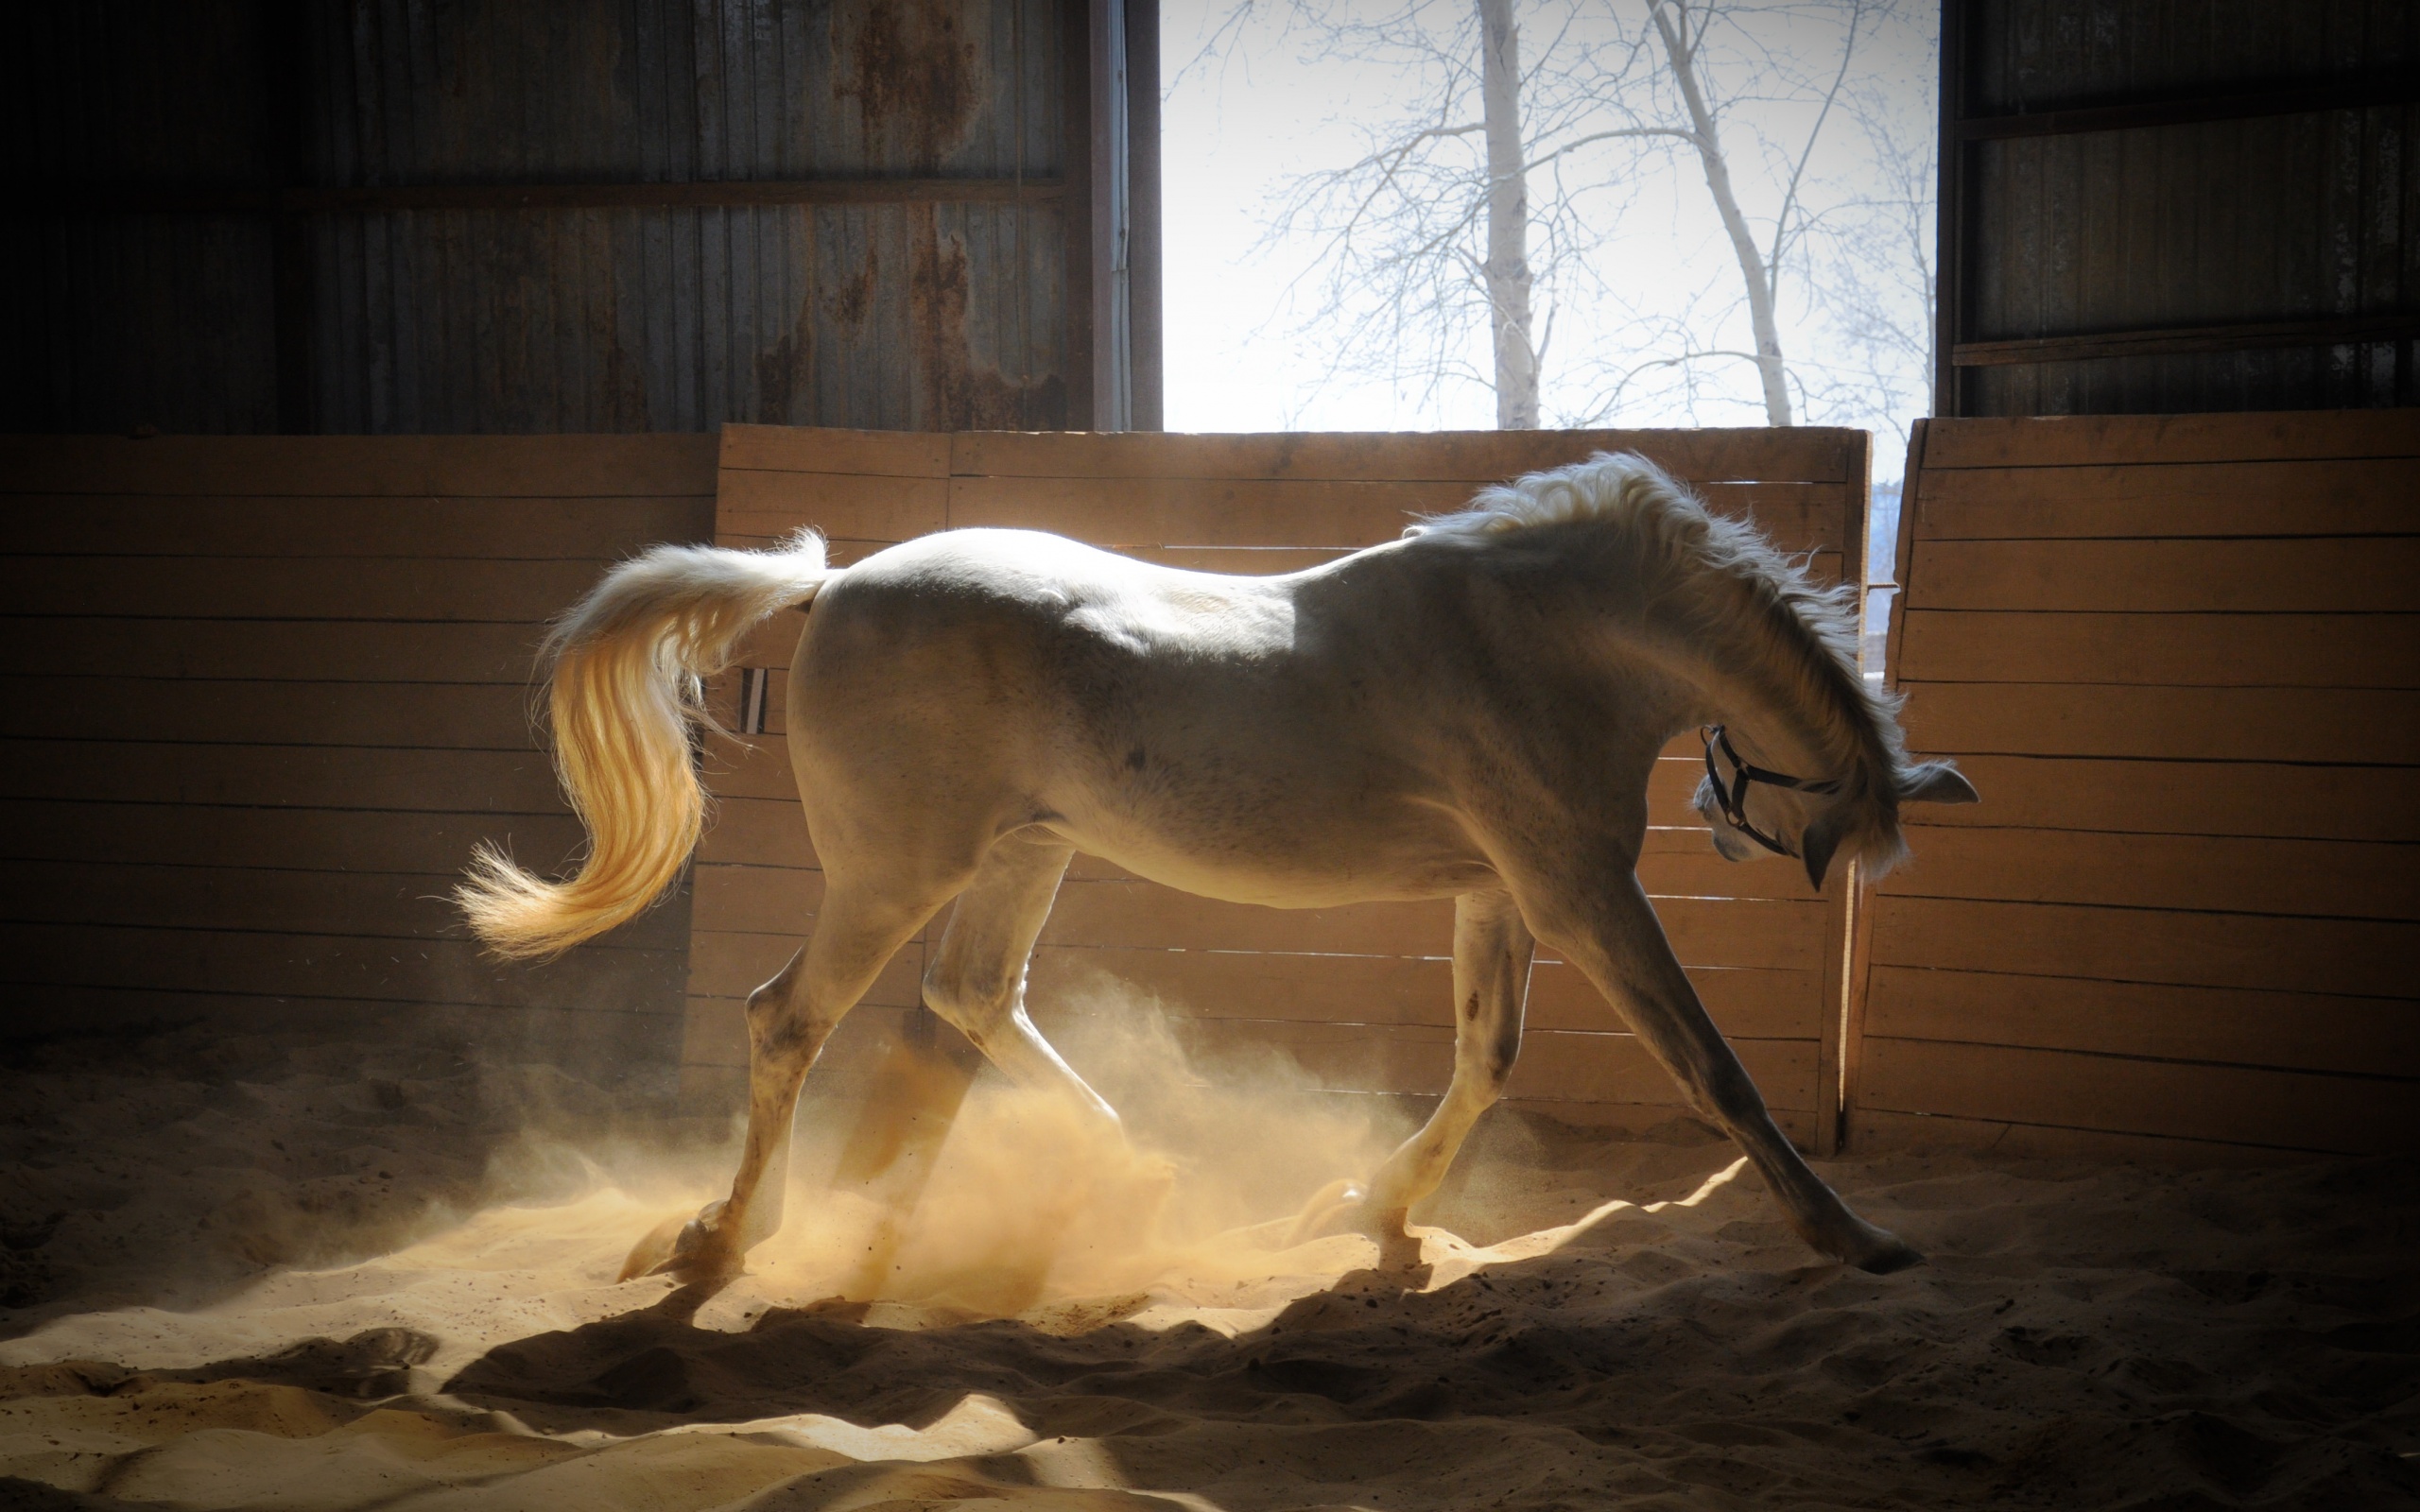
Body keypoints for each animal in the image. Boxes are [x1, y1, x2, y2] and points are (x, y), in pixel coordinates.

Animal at [461, 455, 1974, 1277]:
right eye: (1825, 830)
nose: (1734, 827)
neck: (1537, 637)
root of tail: (831, 586)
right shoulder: (1582, 894)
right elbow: (1715, 1073)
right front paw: (1855, 1237)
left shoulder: (1502, 897)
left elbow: (1485, 1061)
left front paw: (1369, 1208)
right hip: (894, 875)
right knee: (790, 1019)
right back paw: (725, 1238)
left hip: (1024, 856)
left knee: (972, 998)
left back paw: (1135, 1172)